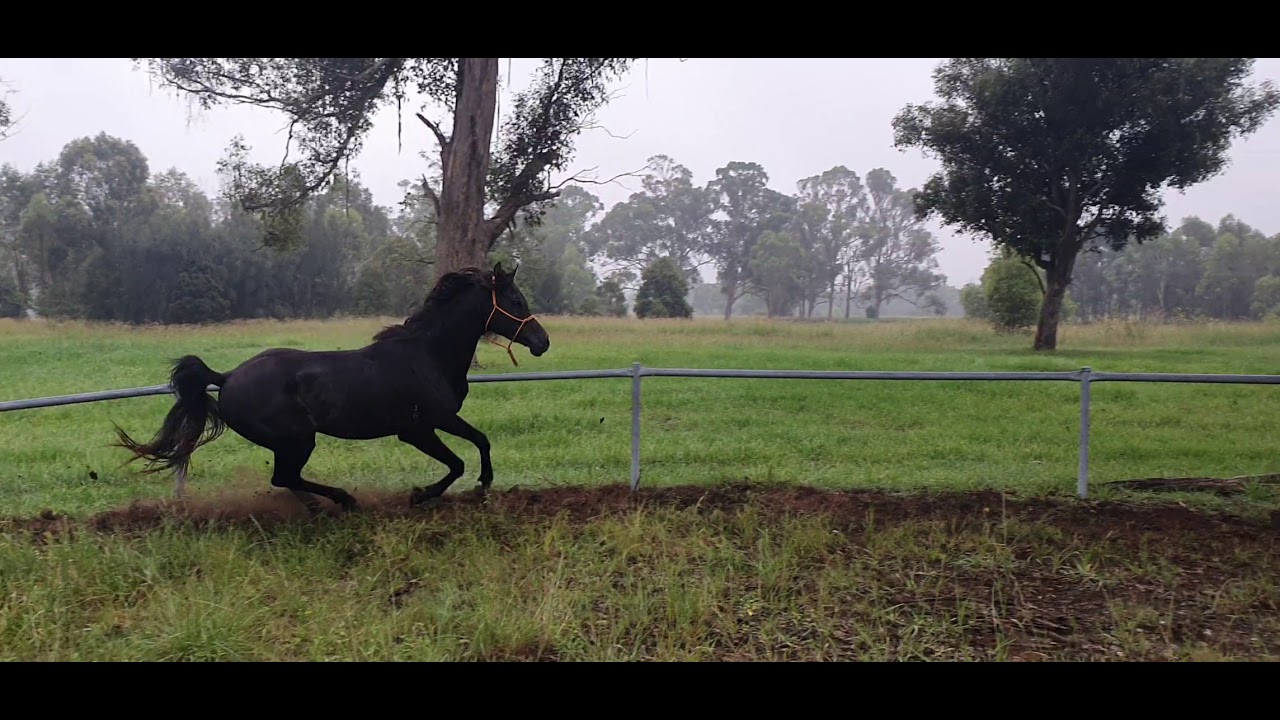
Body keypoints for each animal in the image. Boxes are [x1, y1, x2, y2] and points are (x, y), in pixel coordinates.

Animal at [111, 262, 550, 514]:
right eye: (515, 298)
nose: (541, 342)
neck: (426, 355)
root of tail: (227, 377)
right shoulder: (419, 428)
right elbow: (459, 461)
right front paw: (425, 494)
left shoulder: (437, 422)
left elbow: (480, 441)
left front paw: (482, 485)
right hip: (297, 439)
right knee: (285, 478)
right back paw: (342, 501)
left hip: (291, 443)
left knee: (286, 480)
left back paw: (323, 506)